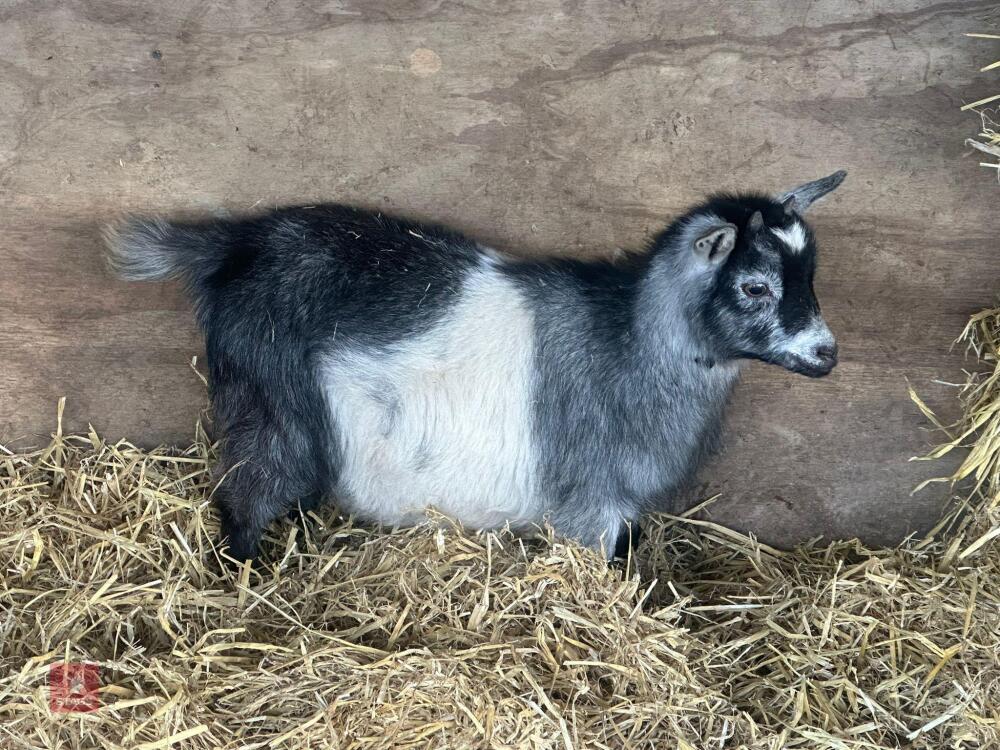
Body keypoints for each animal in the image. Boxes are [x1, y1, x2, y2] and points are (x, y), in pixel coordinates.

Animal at [106, 171, 845, 561]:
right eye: (754, 286)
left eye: (811, 274)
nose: (826, 353)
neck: (629, 340)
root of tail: (237, 242)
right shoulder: (590, 501)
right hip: (269, 403)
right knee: (245, 493)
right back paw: (246, 573)